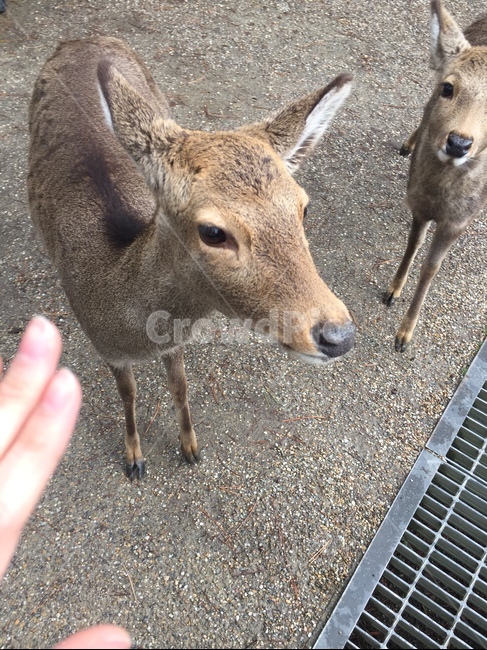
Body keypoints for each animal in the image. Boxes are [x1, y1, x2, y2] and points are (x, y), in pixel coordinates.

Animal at [28, 36, 356, 479]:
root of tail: (83, 38)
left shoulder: (174, 341)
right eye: (213, 232)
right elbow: (128, 393)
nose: (338, 334)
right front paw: (134, 459)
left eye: (303, 208)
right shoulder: (106, 348)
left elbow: (180, 386)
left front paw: (190, 447)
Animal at [384, 0, 487, 352]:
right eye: (448, 87)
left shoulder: (459, 221)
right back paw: (409, 143)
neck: (440, 199)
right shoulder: (416, 201)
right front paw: (392, 291)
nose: (459, 143)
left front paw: (404, 335)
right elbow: (413, 243)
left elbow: (431, 267)